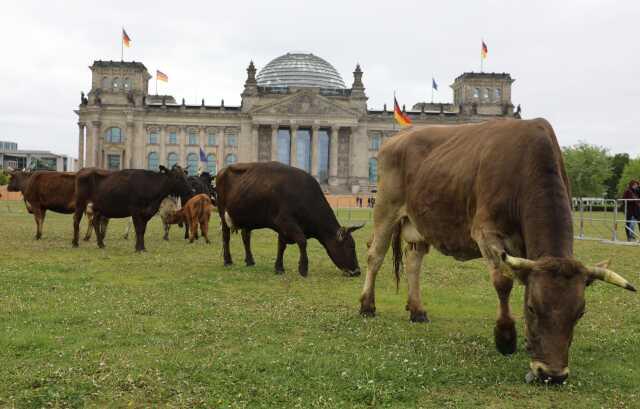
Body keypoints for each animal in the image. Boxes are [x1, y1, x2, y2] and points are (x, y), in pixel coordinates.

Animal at [216, 161, 362, 276]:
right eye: (350, 246)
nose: (357, 272)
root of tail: (223, 170)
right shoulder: (285, 221)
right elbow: (302, 241)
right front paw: (303, 268)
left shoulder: (283, 227)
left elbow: (281, 246)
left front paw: (279, 268)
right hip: (223, 214)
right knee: (226, 237)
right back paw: (227, 260)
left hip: (247, 217)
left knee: (246, 237)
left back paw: (250, 261)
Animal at [360, 117, 636, 382]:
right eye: (534, 308)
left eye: (580, 312)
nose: (552, 374)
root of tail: (397, 137)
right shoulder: (486, 232)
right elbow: (503, 282)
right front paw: (505, 337)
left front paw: (528, 341)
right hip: (385, 207)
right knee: (375, 255)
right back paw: (367, 305)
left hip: (420, 223)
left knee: (413, 261)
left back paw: (417, 310)